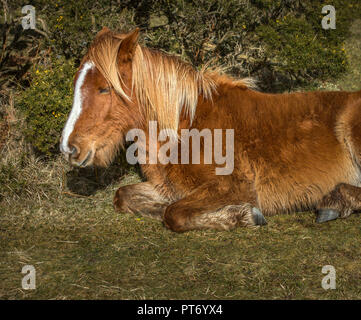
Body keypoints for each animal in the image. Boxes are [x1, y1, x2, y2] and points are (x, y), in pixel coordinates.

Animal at [59, 27, 360, 232]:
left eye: (104, 88)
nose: (69, 148)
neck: (186, 128)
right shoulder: (166, 188)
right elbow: (124, 197)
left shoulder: (231, 186)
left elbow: (174, 214)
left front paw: (241, 216)